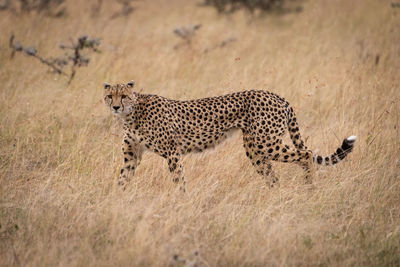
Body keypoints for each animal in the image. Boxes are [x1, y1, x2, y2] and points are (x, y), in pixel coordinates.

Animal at [103, 80, 356, 192]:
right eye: (109, 95)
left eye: (123, 95)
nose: (115, 107)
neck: (132, 113)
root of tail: (277, 95)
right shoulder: (132, 155)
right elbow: (122, 179)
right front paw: (117, 199)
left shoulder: (173, 153)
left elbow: (179, 180)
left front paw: (180, 200)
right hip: (255, 149)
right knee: (273, 175)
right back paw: (274, 196)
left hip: (266, 143)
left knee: (306, 153)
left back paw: (310, 187)